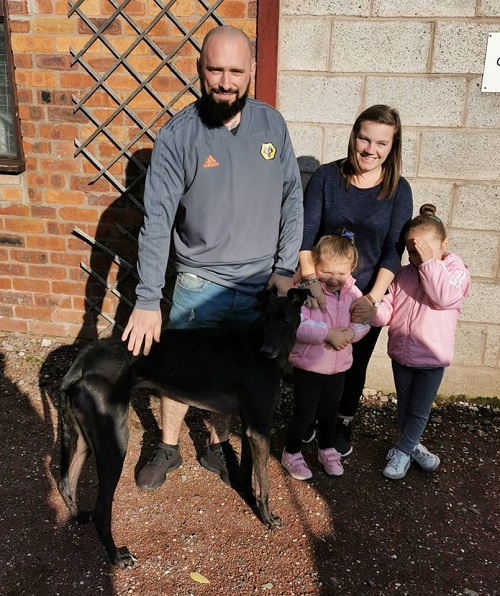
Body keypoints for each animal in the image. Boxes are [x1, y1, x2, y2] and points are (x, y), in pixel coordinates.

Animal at [58, 288, 308, 568]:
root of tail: (80, 365)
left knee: (66, 482)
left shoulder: (250, 426)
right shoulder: (260, 428)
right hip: (115, 442)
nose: (267, 352)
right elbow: (264, 483)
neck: (257, 341)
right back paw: (117, 557)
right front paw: (268, 518)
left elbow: (247, 472)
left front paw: (245, 494)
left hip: (85, 440)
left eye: (286, 319)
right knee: (101, 510)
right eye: (265, 318)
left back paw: (80, 516)